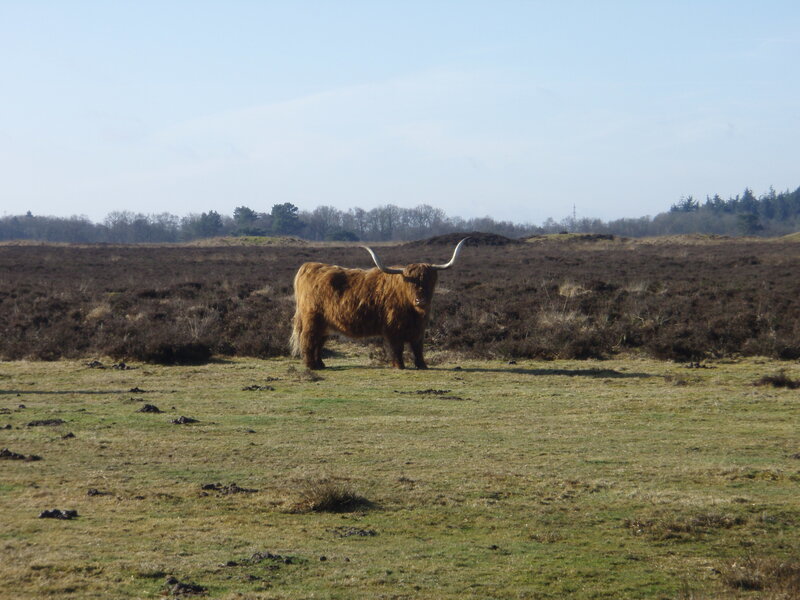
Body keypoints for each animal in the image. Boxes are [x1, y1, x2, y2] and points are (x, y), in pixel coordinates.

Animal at [290, 238, 469, 369]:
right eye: (410, 282)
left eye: (430, 280)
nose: (421, 300)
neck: (413, 312)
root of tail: (310, 266)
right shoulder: (393, 328)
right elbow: (397, 348)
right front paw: (399, 366)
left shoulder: (419, 329)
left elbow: (418, 348)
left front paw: (422, 366)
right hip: (312, 320)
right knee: (308, 339)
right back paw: (311, 366)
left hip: (325, 323)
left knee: (319, 342)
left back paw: (320, 364)